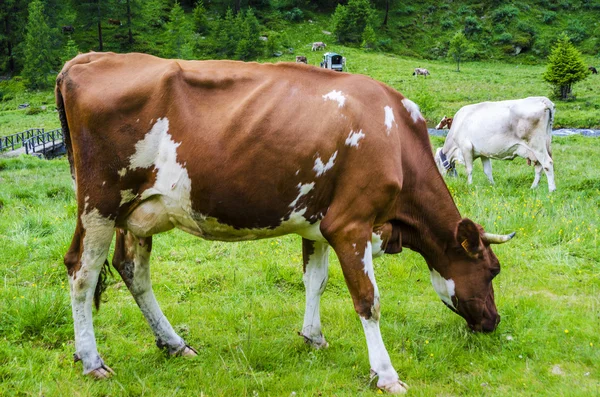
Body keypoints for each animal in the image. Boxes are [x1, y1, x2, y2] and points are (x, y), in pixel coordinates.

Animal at [57, 52, 516, 392]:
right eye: (492, 270)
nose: (493, 322)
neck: (396, 140)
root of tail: (87, 59)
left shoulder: (319, 224)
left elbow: (316, 280)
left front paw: (313, 336)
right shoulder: (351, 224)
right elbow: (368, 300)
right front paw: (386, 374)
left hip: (136, 213)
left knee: (133, 270)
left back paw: (174, 343)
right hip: (99, 203)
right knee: (82, 271)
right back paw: (93, 361)